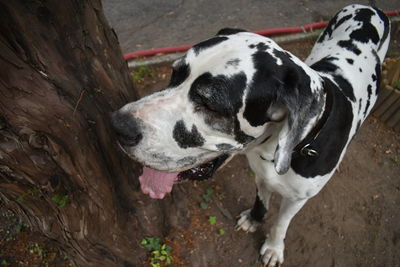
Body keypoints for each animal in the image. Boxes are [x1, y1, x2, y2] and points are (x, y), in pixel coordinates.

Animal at [111, 4, 390, 267]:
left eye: (210, 105)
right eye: (175, 74)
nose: (118, 125)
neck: (282, 150)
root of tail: (369, 7)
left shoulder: (297, 199)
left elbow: (280, 223)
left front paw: (274, 248)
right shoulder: (261, 174)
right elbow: (261, 200)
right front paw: (254, 219)